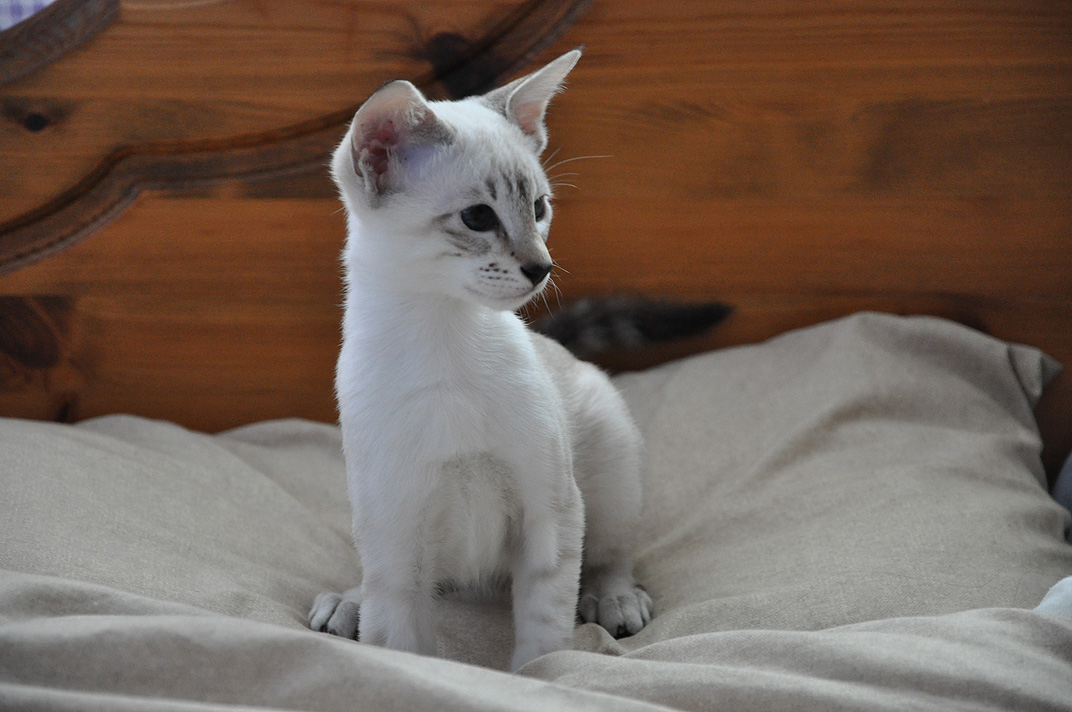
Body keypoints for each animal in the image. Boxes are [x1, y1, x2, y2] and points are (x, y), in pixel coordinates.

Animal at [304, 51, 651, 673]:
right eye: (477, 218)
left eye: (539, 208)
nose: (542, 267)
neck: (445, 342)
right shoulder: (396, 524)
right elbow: (400, 639)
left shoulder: (550, 508)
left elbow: (544, 629)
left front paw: (541, 675)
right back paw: (348, 602)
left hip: (610, 462)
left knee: (612, 553)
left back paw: (615, 598)